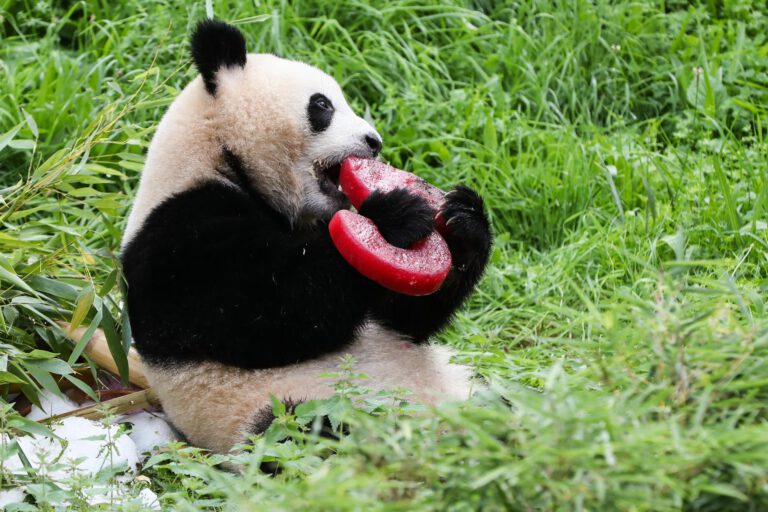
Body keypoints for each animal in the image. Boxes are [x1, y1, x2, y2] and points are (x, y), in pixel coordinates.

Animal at [120, 20, 492, 454]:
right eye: (322, 105)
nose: (374, 141)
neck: (218, 156)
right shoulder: (176, 239)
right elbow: (272, 309)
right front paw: (393, 216)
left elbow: (400, 316)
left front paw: (464, 220)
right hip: (286, 406)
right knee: (308, 434)